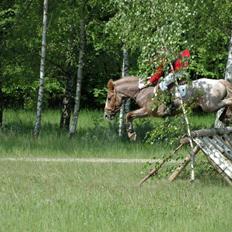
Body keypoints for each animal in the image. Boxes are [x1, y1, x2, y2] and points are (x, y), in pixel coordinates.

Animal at [104, 76, 232, 140]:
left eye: (109, 98)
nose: (106, 115)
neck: (142, 90)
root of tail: (219, 81)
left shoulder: (148, 111)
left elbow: (129, 114)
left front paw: (131, 134)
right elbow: (129, 115)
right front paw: (131, 134)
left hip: (209, 105)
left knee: (228, 101)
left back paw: (227, 116)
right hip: (211, 105)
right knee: (226, 104)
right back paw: (224, 117)